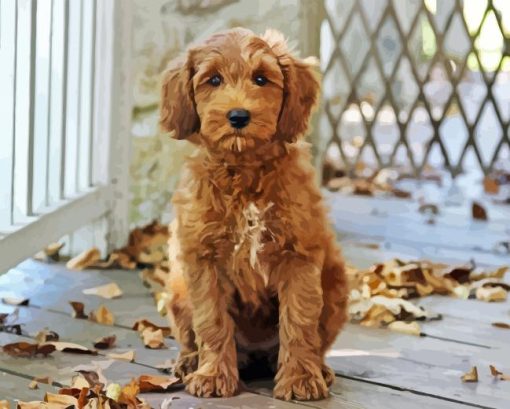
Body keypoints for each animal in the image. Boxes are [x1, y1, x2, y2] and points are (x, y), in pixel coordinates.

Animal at [161, 27, 348, 400]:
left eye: (261, 79)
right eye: (213, 79)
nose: (238, 116)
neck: (244, 174)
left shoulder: (299, 257)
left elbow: (299, 321)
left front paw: (300, 378)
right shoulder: (203, 260)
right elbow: (212, 321)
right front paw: (213, 376)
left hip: (337, 281)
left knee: (316, 339)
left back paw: (318, 367)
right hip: (177, 289)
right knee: (190, 335)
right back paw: (189, 362)